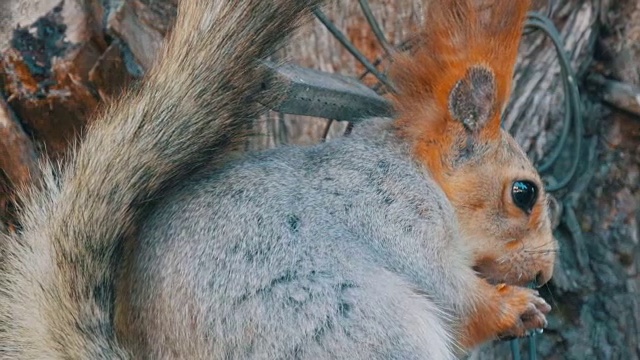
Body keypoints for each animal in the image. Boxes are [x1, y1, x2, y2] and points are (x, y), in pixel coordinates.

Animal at [0, 0, 556, 358]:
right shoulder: (392, 215)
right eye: (523, 193)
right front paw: (515, 308)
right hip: (350, 329)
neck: (423, 177)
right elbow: (451, 296)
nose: (545, 273)